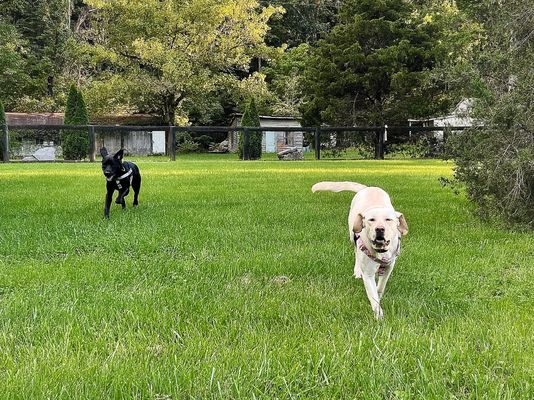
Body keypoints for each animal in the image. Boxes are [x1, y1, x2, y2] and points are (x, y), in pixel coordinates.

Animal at [312, 183, 408, 320]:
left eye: (388, 220)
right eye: (371, 220)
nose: (379, 229)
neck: (380, 251)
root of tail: (367, 188)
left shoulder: (389, 266)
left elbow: (381, 286)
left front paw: (379, 294)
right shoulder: (368, 273)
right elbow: (372, 294)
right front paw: (378, 314)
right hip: (353, 235)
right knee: (356, 254)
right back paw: (357, 271)